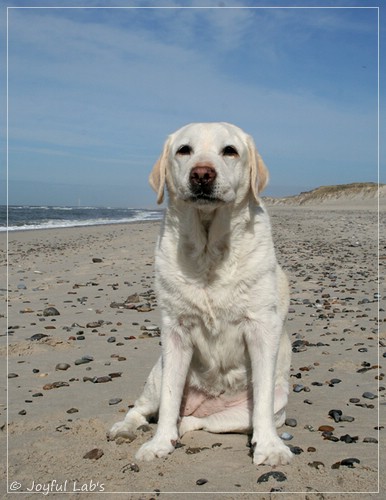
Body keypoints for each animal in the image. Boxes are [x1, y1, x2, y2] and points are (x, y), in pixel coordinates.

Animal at [108, 123, 292, 466]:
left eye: (230, 151)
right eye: (184, 150)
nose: (202, 174)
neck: (210, 252)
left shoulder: (261, 327)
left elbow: (260, 401)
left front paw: (270, 448)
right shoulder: (175, 331)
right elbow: (170, 398)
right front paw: (158, 444)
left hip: (263, 406)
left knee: (198, 421)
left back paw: (184, 425)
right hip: (157, 375)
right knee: (140, 409)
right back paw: (127, 429)